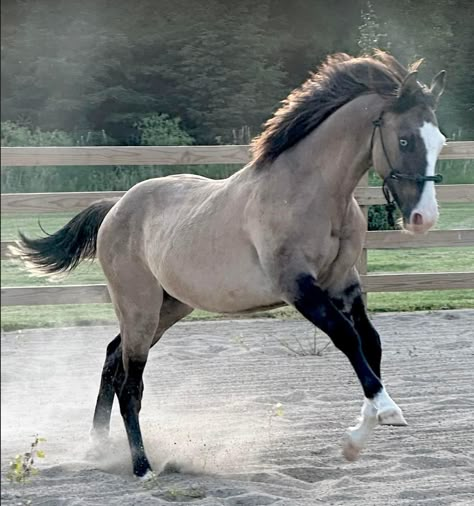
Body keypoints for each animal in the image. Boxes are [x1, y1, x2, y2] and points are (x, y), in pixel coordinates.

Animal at [12, 52, 446, 478]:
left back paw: (97, 449)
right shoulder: (298, 286)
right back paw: (141, 467)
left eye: (440, 140)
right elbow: (347, 338)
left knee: (111, 359)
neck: (311, 195)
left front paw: (357, 438)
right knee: (129, 381)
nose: (423, 218)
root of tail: (116, 207)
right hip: (139, 307)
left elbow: (370, 342)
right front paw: (387, 412)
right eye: (404, 139)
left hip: (169, 307)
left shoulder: (343, 282)